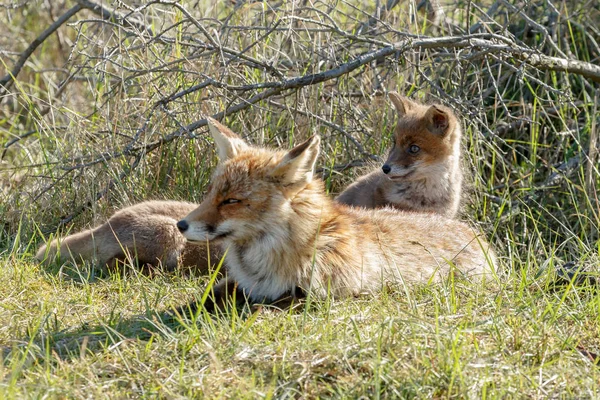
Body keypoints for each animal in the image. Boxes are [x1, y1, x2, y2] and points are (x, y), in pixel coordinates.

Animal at [176, 117, 494, 304]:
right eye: (210, 193)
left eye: (231, 201)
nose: (180, 225)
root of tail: (478, 236)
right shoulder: (243, 285)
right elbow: (205, 297)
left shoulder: (327, 295)